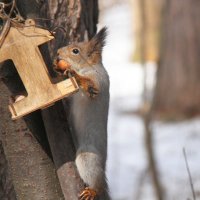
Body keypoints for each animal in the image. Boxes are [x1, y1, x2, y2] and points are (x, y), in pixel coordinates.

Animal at [54, 27, 111, 200]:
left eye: (75, 51)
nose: (58, 52)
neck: (88, 67)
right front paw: (57, 68)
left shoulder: (98, 82)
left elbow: (90, 87)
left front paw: (72, 72)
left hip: (88, 157)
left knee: (96, 181)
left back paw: (92, 191)